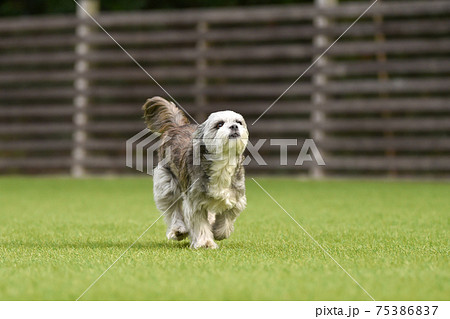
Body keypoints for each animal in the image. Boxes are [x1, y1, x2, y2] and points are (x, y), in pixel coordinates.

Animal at [143, 97, 250, 250]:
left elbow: (227, 217)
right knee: (173, 210)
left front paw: (218, 231)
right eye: (219, 124)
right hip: (166, 184)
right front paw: (205, 243)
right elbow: (200, 224)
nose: (234, 126)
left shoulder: (236, 198)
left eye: (239, 122)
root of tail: (177, 126)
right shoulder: (195, 202)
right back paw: (178, 230)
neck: (223, 163)